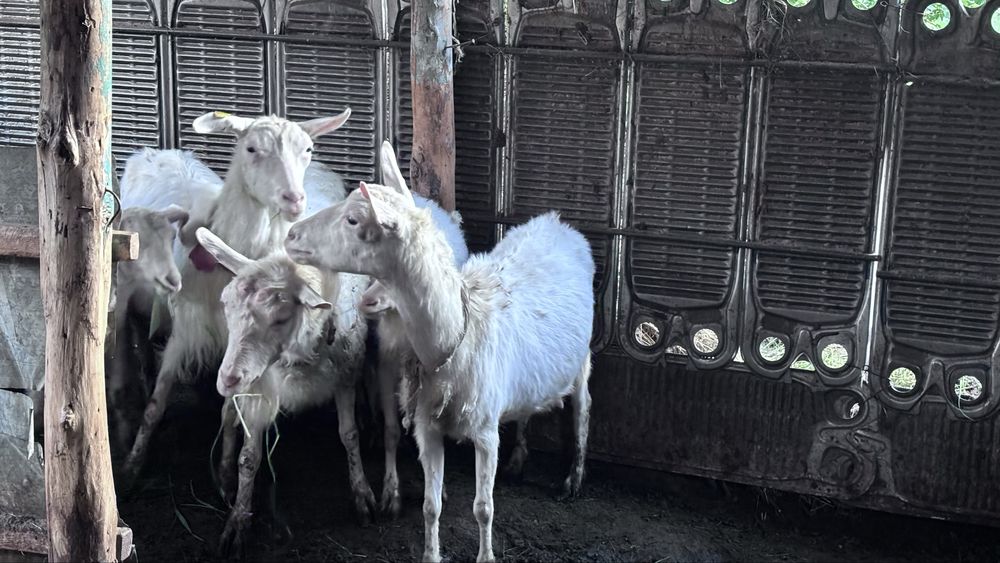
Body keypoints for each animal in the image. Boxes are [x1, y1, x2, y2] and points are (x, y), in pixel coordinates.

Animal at [119, 110, 352, 492]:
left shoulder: (240, 344)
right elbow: (155, 404)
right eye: (251, 148)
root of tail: (156, 151)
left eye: (307, 149)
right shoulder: (185, 331)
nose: (294, 199)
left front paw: (226, 473)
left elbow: (230, 410)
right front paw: (131, 468)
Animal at [285, 141, 595, 563]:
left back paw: (573, 478)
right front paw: (430, 551)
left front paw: (486, 555)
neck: (456, 335)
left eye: (352, 220)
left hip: (583, 359)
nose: (291, 234)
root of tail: (556, 221)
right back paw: (519, 459)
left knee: (582, 408)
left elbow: (484, 508)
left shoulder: (485, 433)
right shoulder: (427, 429)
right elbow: (430, 507)